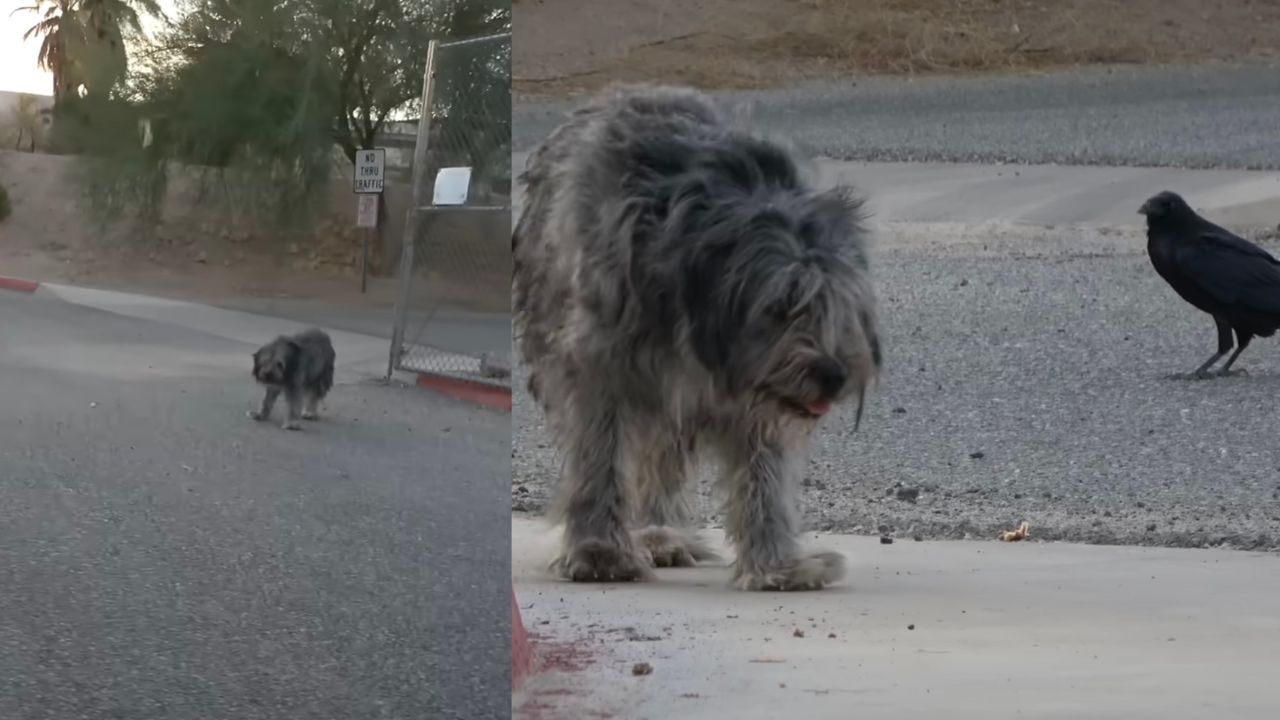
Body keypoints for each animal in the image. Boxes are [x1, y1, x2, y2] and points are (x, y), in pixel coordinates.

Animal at [509, 85, 880, 589]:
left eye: (839, 305)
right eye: (782, 305)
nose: (834, 375)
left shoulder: (748, 389)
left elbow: (764, 469)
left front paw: (778, 564)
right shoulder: (596, 365)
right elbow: (600, 456)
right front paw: (599, 551)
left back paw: (659, 534)